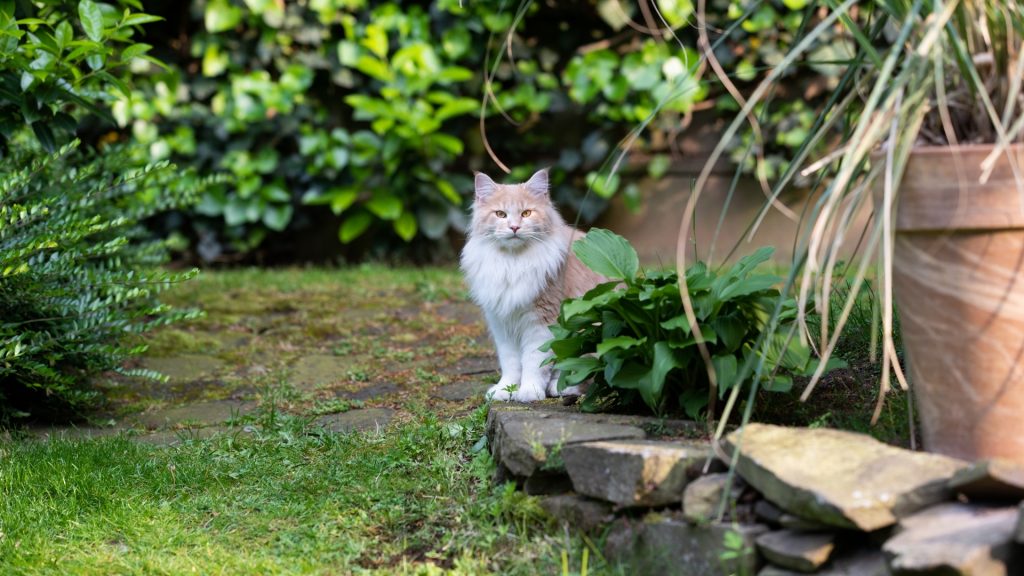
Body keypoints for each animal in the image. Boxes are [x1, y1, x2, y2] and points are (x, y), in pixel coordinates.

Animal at [462, 167, 606, 399]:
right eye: (500, 214)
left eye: (526, 213)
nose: (514, 227)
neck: (512, 264)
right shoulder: (501, 324)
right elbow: (511, 363)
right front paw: (505, 390)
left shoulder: (542, 322)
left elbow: (534, 362)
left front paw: (529, 391)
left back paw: (560, 388)